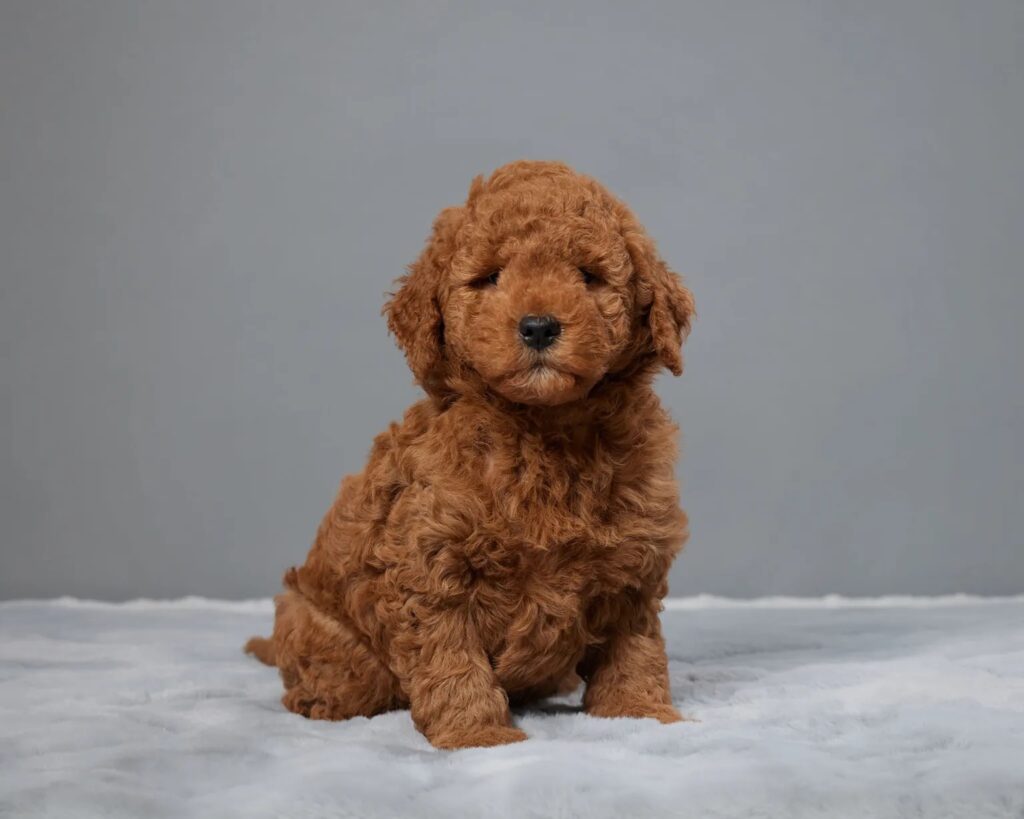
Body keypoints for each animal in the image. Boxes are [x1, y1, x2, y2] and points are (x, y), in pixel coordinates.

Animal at [246, 159, 696, 749]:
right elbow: (452, 660)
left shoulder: (635, 559)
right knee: (343, 675)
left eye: (587, 275)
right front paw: (477, 735)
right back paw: (322, 699)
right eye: (490, 277)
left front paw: (639, 713)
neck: (543, 430)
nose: (538, 326)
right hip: (322, 627)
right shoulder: (430, 563)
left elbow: (634, 646)